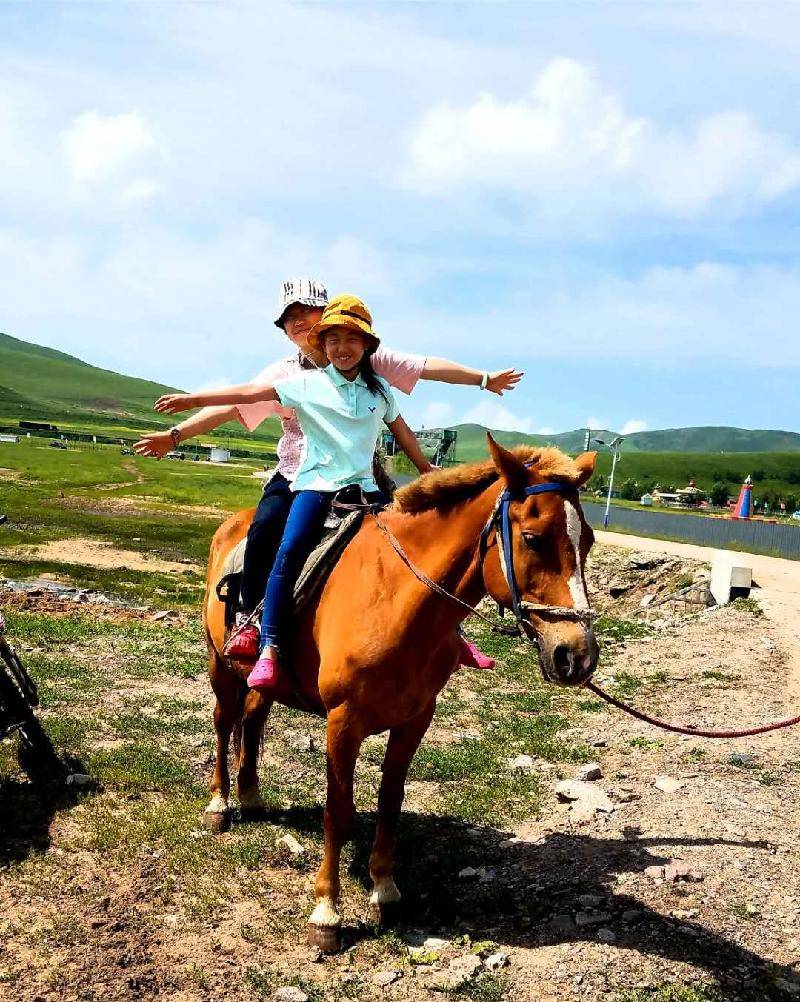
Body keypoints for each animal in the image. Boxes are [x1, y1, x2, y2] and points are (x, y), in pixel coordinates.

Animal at [203, 436, 597, 945]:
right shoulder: (343, 721)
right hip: (219, 663)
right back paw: (219, 804)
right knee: (224, 723)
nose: (577, 656)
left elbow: (390, 802)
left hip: (262, 680)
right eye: (532, 538)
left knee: (252, 718)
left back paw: (250, 796)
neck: (395, 597)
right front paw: (326, 913)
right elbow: (338, 810)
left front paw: (385, 890)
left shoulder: (415, 719)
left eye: (587, 541)